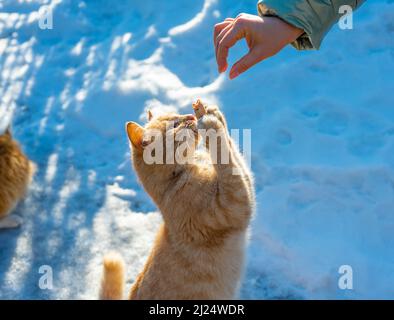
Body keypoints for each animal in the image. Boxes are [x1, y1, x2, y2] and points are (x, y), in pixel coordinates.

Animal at [101, 100, 255, 300]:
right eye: (174, 125)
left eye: (179, 115)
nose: (190, 116)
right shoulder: (234, 203)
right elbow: (224, 154)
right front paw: (209, 123)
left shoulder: (243, 188)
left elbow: (234, 155)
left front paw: (210, 112)